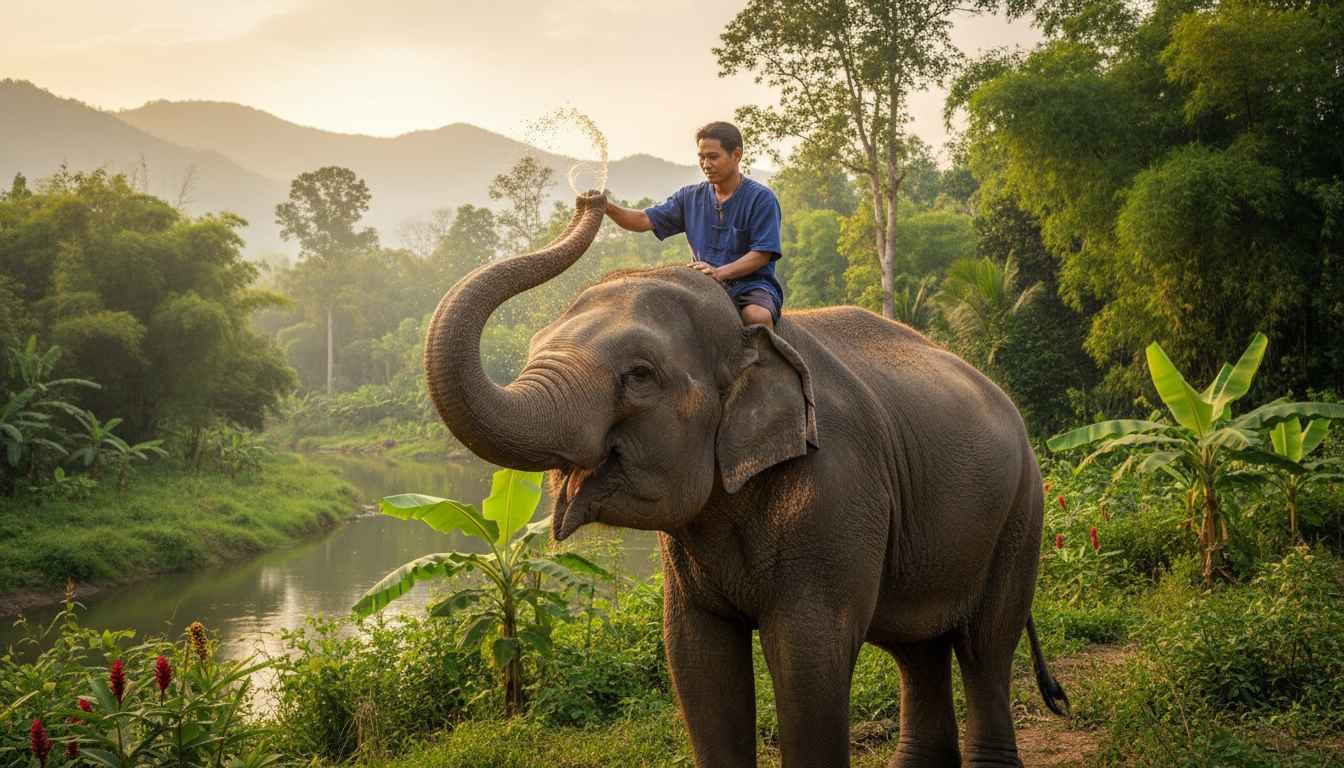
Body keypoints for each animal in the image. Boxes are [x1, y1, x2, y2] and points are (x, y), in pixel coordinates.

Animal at [423, 191, 1068, 768]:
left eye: (640, 374)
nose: (590, 199)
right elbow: (696, 657)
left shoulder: (837, 488)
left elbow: (809, 657)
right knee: (918, 648)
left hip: (1021, 511)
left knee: (985, 645)